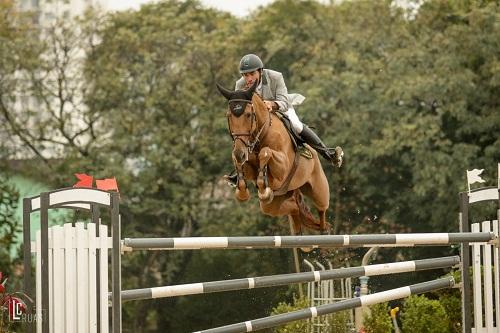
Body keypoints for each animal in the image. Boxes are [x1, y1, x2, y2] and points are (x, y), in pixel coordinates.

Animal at [216, 80, 330, 232]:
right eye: (228, 116)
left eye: (248, 115)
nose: (240, 153)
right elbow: (242, 165)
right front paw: (243, 192)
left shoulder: (283, 167)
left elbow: (266, 152)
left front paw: (262, 185)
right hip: (273, 203)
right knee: (294, 208)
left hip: (319, 190)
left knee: (322, 210)